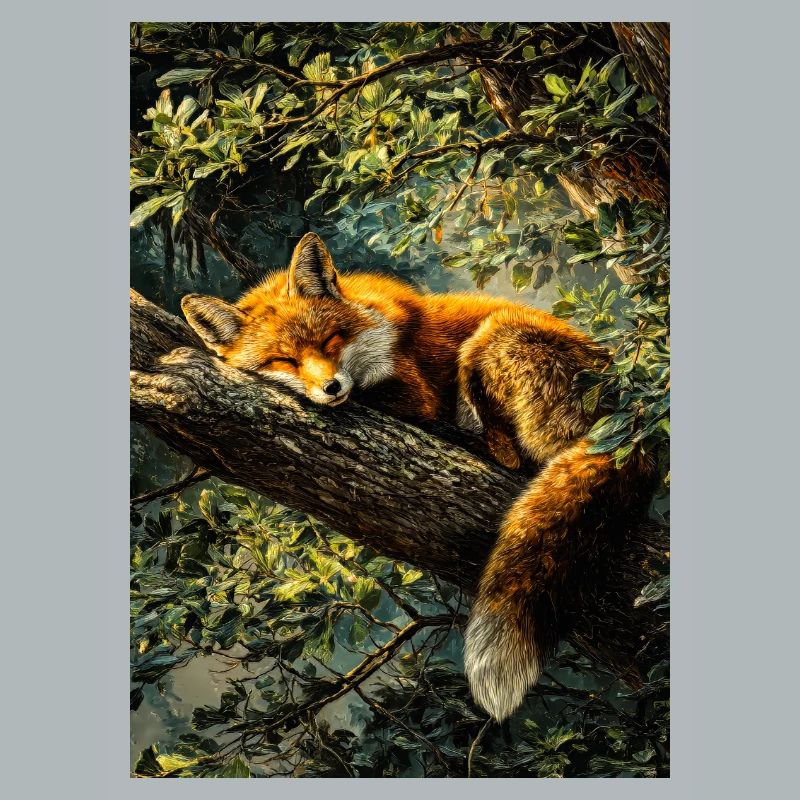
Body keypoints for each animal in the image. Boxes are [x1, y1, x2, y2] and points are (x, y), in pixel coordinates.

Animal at [181, 232, 651, 722]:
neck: (374, 330)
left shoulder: (414, 392)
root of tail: (631, 422)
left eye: (330, 340)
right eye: (283, 359)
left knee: (513, 457)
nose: (331, 388)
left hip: (492, 337)